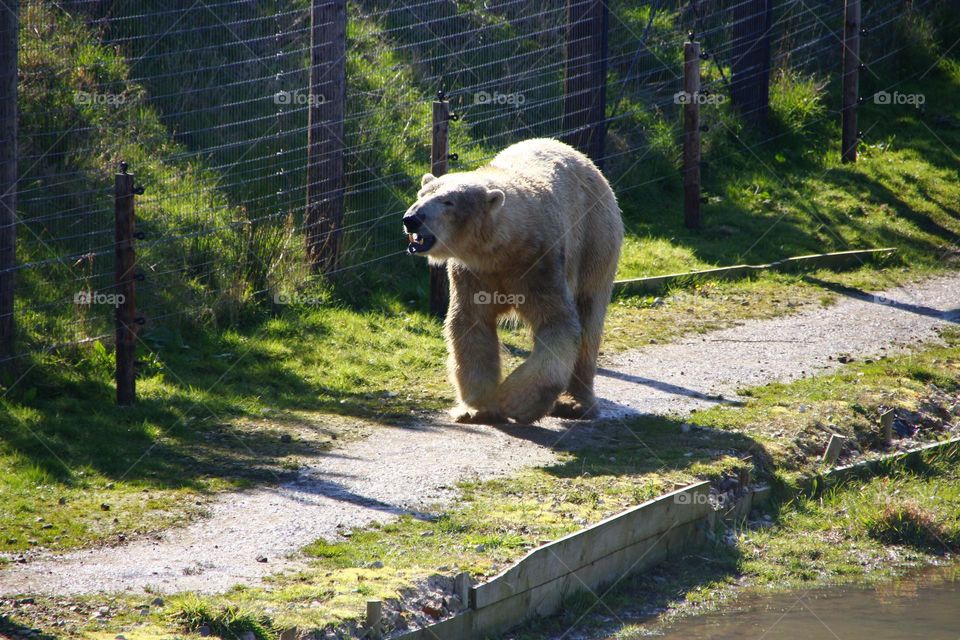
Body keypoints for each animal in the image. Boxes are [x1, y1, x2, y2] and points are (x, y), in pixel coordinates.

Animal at [402, 138, 623, 424]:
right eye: (422, 194)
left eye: (448, 201)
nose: (411, 219)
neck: (506, 247)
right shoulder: (474, 272)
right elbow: (470, 325)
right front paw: (478, 409)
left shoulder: (541, 264)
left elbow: (558, 325)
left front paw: (514, 401)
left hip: (595, 239)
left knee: (589, 315)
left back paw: (574, 403)